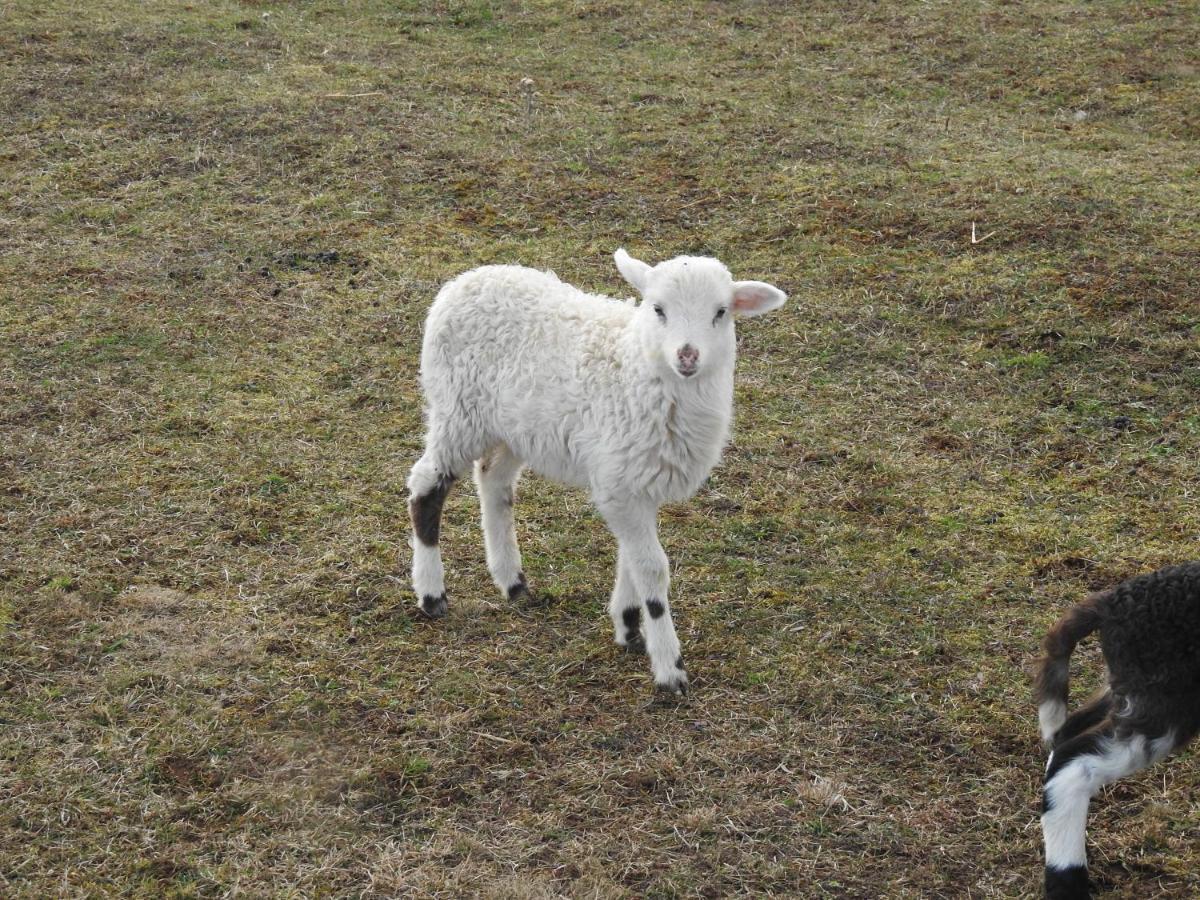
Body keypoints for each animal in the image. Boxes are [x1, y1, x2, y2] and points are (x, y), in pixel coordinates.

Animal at [408, 248, 787, 696]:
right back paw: (432, 595)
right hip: (458, 408)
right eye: (658, 309)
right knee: (426, 485)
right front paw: (669, 668)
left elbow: (633, 559)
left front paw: (628, 628)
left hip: (517, 427)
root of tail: (463, 282)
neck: (637, 368)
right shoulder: (620, 481)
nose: (688, 355)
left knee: (493, 479)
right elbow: (653, 569)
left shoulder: (634, 479)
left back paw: (512, 582)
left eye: (721, 312)